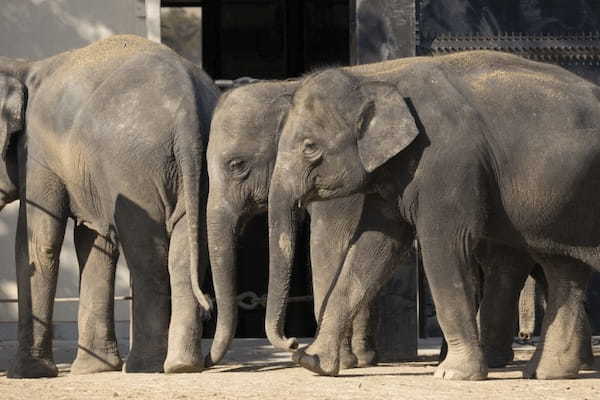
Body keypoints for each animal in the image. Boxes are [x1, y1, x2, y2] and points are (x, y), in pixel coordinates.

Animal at [268, 50, 600, 382]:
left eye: (310, 147)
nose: (293, 342)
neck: (376, 74)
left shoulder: (447, 162)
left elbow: (443, 246)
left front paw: (453, 374)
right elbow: (372, 250)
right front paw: (314, 363)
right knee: (563, 269)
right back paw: (545, 373)